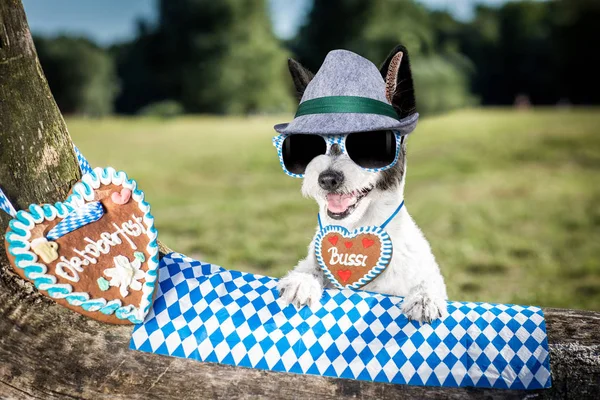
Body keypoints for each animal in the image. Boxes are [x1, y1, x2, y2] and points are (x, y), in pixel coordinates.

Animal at [274, 46, 448, 322]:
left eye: (369, 142)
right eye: (309, 143)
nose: (327, 178)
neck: (356, 229)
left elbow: (427, 281)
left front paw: (424, 297)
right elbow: (311, 267)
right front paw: (303, 280)